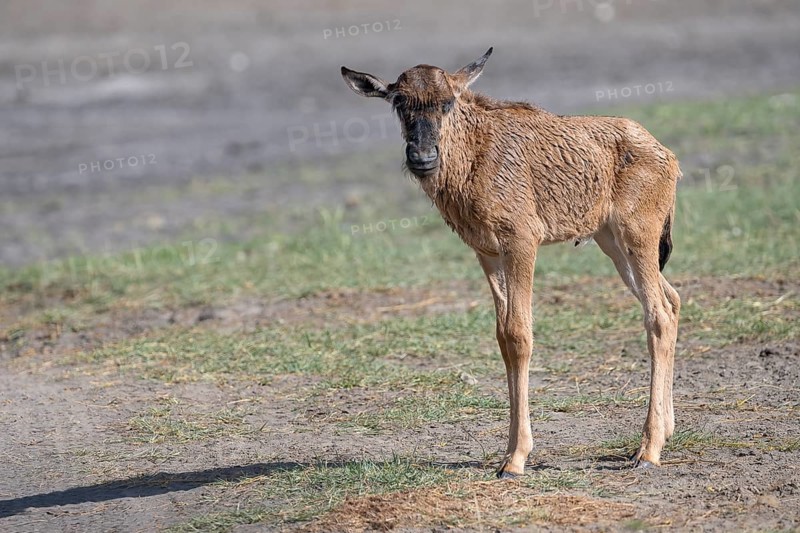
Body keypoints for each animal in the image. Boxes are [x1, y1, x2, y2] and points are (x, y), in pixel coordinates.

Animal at [341, 48, 681, 478]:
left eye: (448, 101)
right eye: (399, 101)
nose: (422, 158)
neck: (478, 150)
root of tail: (666, 155)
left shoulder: (521, 243)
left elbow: (520, 336)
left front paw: (515, 459)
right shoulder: (487, 254)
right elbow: (503, 337)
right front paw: (507, 452)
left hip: (637, 238)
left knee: (658, 315)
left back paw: (648, 450)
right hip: (615, 246)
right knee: (672, 300)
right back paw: (665, 431)